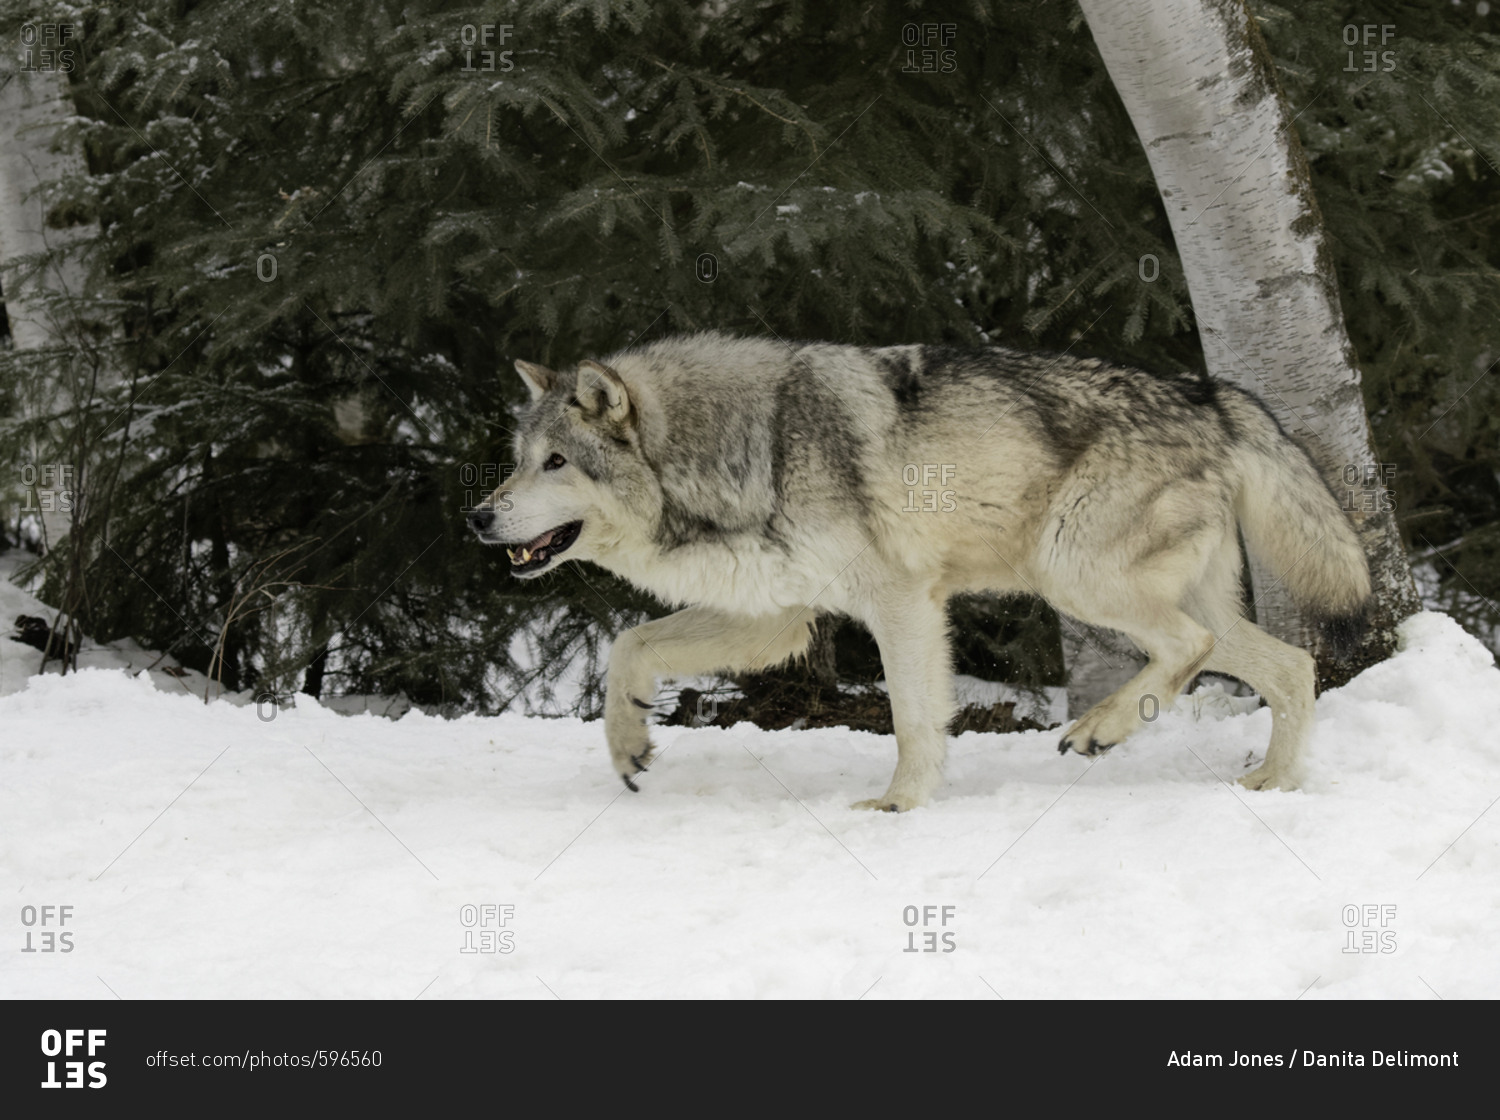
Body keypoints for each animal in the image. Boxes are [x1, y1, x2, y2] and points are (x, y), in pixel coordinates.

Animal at [468, 328, 1374, 809]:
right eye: (517, 461)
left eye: (556, 462)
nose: (477, 517)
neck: (751, 448)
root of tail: (1213, 394)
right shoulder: (778, 622)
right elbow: (632, 646)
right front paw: (627, 744)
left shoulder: (899, 601)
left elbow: (910, 717)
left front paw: (898, 803)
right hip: (1166, 599)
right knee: (1291, 666)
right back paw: (1272, 782)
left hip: (1071, 576)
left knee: (1189, 650)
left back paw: (1098, 730)